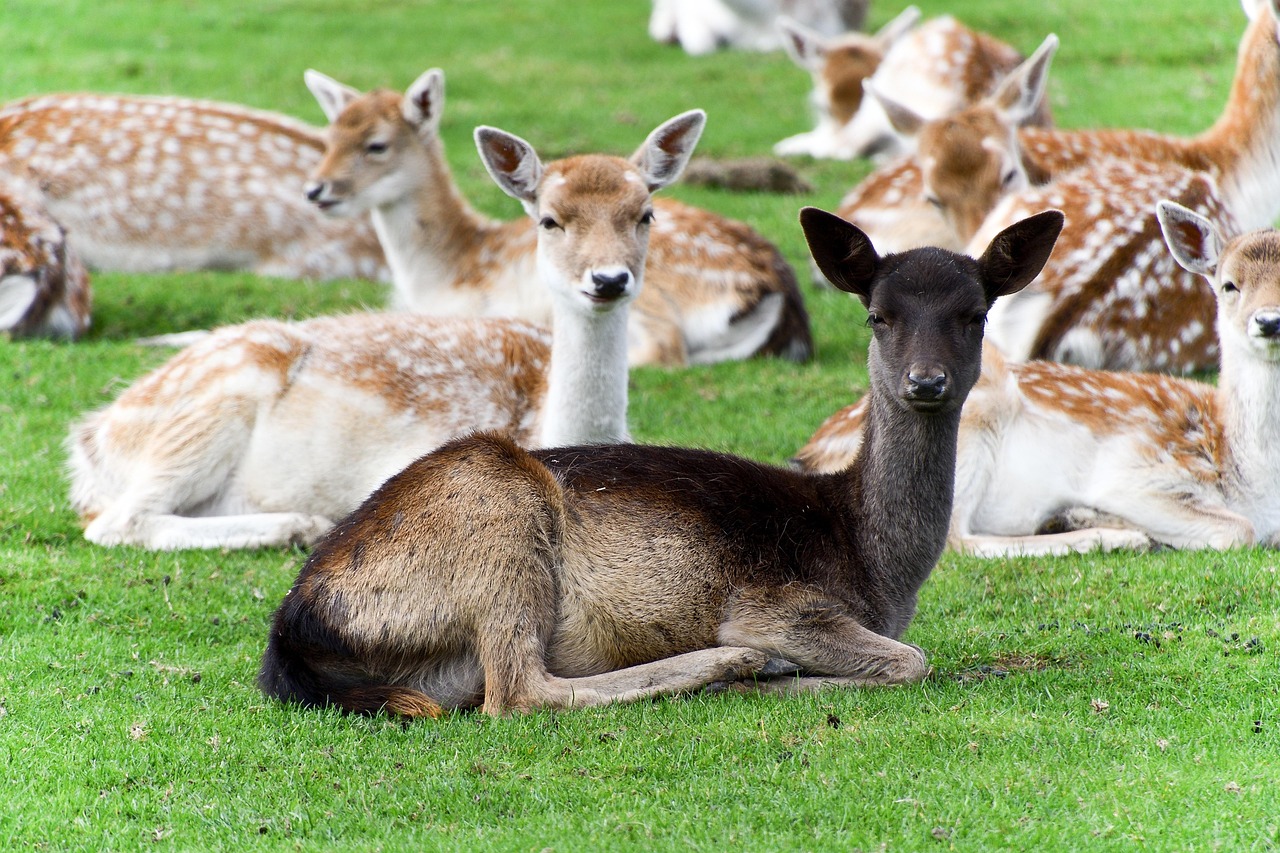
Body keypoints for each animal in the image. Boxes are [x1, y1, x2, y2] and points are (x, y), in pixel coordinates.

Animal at [66, 110, 707, 551]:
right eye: (550, 220)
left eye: (645, 214)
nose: (609, 279)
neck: (544, 425)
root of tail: (89, 442)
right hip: (209, 409)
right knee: (118, 521)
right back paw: (304, 523)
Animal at [256, 207, 1064, 718]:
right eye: (878, 315)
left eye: (976, 315)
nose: (925, 382)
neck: (877, 566)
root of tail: (291, 636)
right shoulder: (778, 600)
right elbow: (910, 660)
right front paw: (771, 669)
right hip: (495, 514)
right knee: (516, 692)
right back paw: (729, 667)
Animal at [303, 68, 812, 368]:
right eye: (328, 138)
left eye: (377, 145)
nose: (316, 190)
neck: (443, 271)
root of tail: (780, 293)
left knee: (666, 349)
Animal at [794, 201, 1280, 558]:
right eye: (1229, 285)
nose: (1268, 321)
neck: (1247, 477)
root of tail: (812, 455)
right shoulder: (1135, 468)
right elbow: (1238, 531)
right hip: (978, 418)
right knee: (956, 540)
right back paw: (1110, 535)